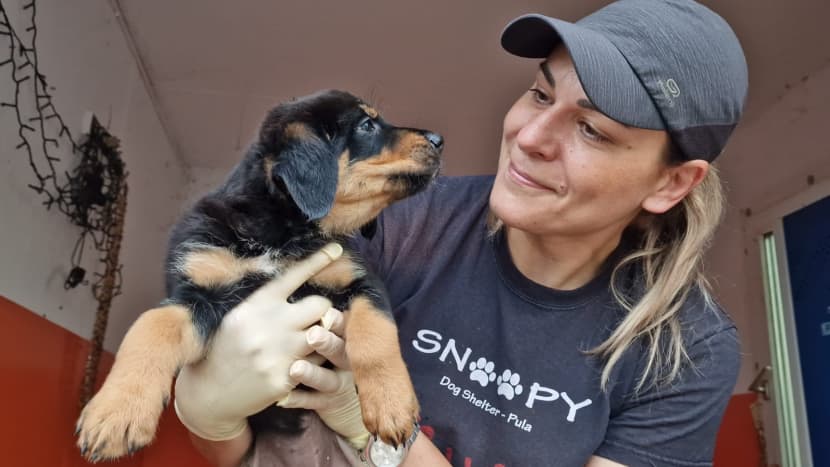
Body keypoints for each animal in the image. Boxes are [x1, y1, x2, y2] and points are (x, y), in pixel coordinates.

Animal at [75, 89, 443, 461]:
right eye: (367, 125)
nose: (439, 140)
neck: (283, 228)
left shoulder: (359, 278)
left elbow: (376, 337)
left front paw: (392, 405)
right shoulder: (198, 289)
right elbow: (151, 327)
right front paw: (115, 413)